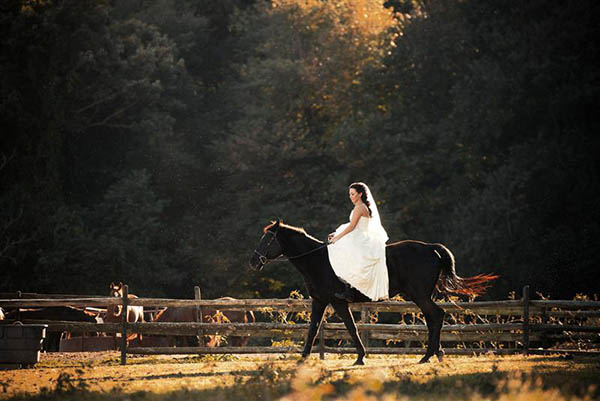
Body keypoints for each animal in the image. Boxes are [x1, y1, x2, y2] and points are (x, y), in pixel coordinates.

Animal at [248, 220, 496, 364]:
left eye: (268, 239)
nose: (253, 262)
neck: (318, 260)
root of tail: (430, 248)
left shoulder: (339, 302)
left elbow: (351, 327)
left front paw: (360, 357)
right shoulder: (319, 301)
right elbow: (313, 329)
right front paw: (303, 357)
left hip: (419, 295)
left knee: (436, 315)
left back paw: (428, 356)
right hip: (423, 296)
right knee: (433, 318)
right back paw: (435, 353)